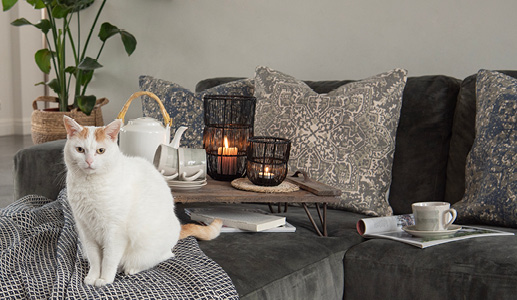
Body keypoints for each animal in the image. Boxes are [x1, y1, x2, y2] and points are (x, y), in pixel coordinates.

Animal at [62, 116, 220, 288]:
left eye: (100, 151)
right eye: (79, 150)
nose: (89, 161)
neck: (90, 185)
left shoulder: (115, 232)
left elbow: (109, 259)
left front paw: (105, 279)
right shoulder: (86, 231)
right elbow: (95, 259)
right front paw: (92, 276)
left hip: (149, 246)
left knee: (162, 257)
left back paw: (131, 268)